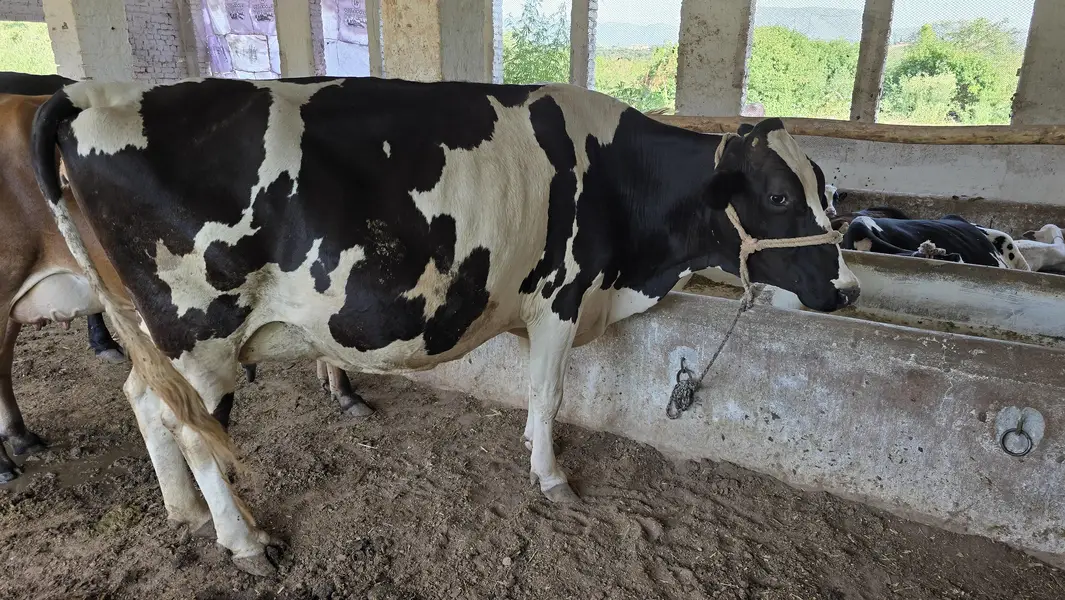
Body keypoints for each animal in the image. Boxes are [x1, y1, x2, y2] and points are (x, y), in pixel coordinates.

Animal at [32, 77, 859, 574]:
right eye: (779, 197)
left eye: (823, 188)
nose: (847, 289)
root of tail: (93, 92)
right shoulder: (560, 295)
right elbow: (547, 396)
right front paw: (552, 477)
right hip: (199, 333)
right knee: (195, 431)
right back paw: (241, 539)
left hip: (152, 333)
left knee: (146, 402)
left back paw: (183, 511)